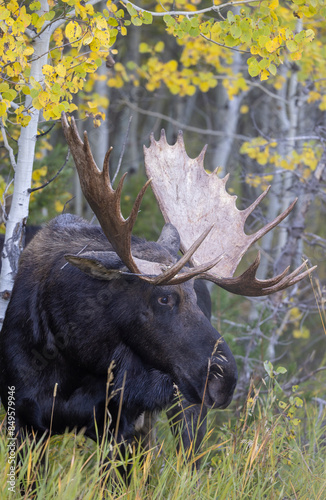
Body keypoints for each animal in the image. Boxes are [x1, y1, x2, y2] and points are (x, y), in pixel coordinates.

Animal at [0, 114, 316, 480]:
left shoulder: (118, 427)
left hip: (185, 410)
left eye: (196, 299)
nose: (224, 379)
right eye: (164, 298)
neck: (72, 352)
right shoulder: (24, 421)